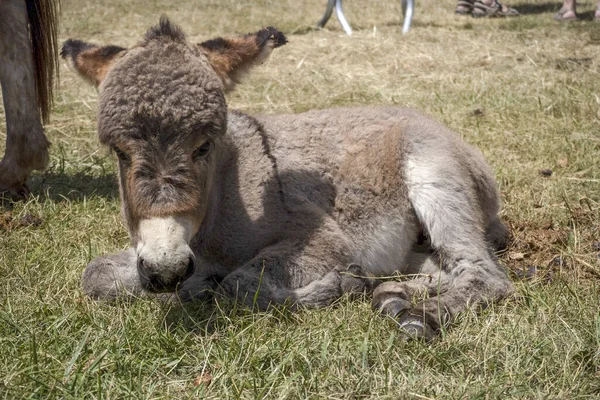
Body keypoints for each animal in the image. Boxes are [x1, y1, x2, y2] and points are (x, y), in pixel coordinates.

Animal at [63, 18, 512, 340]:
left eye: (204, 147)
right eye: (120, 153)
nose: (166, 273)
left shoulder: (323, 240)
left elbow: (240, 283)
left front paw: (340, 285)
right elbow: (94, 274)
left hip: (435, 176)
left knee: (484, 273)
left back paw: (418, 313)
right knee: (441, 266)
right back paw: (394, 295)